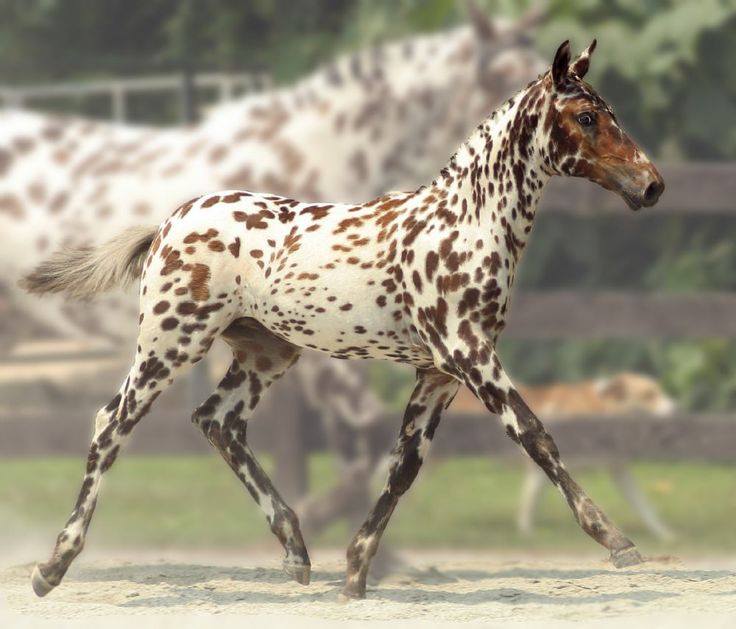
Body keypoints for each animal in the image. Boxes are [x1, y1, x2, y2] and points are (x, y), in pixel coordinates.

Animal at [23, 39, 668, 600]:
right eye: (586, 116)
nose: (652, 184)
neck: (465, 220)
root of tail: (167, 222)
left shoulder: (439, 373)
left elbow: (403, 467)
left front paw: (356, 572)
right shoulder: (468, 353)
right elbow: (535, 435)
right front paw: (615, 540)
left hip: (266, 353)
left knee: (217, 422)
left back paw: (296, 549)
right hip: (170, 342)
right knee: (110, 425)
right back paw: (53, 566)